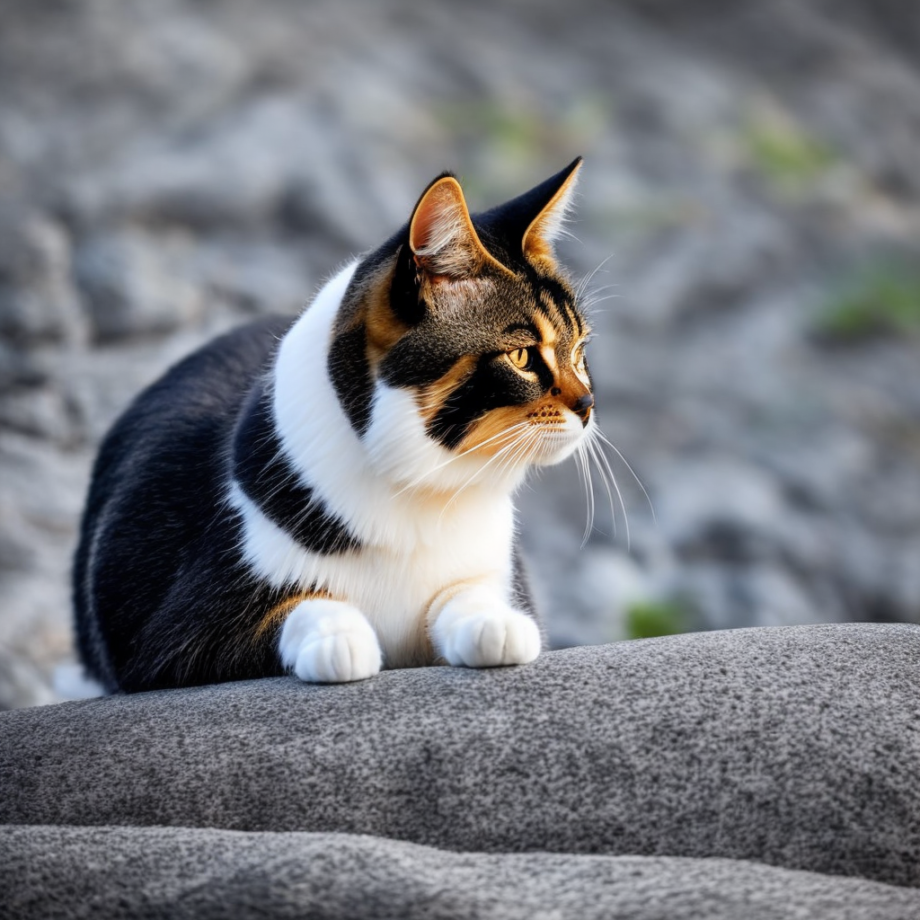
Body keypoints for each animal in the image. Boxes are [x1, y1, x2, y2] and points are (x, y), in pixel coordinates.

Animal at [75, 156, 600, 688]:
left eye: (579, 350)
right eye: (521, 357)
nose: (588, 404)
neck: (423, 493)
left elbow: (462, 595)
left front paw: (493, 622)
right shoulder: (172, 638)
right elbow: (302, 603)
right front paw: (338, 640)